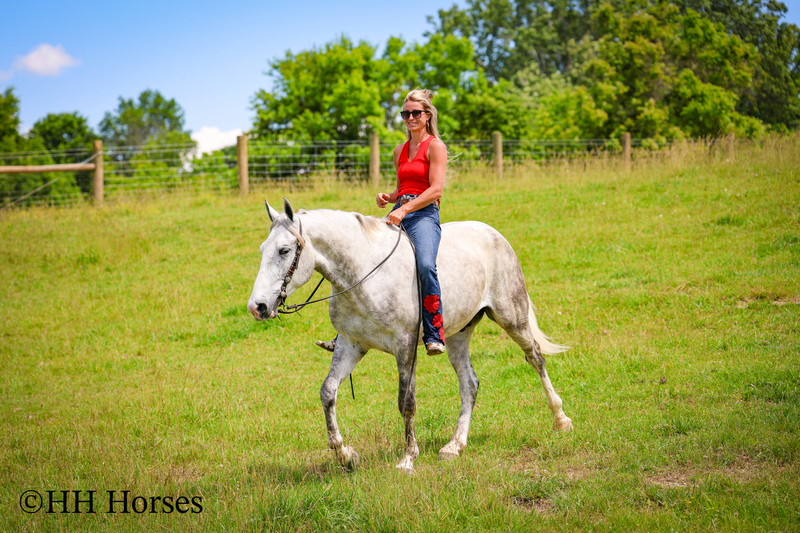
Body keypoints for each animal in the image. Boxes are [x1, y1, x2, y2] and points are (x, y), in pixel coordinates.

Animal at [247, 198, 573, 472]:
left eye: (285, 250)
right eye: (262, 249)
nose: (257, 307)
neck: (364, 274)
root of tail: (493, 234)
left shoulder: (405, 346)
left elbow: (406, 401)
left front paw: (407, 458)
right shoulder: (351, 345)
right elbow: (328, 392)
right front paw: (345, 454)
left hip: (511, 316)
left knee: (535, 357)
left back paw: (561, 419)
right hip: (458, 335)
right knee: (470, 383)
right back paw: (455, 446)